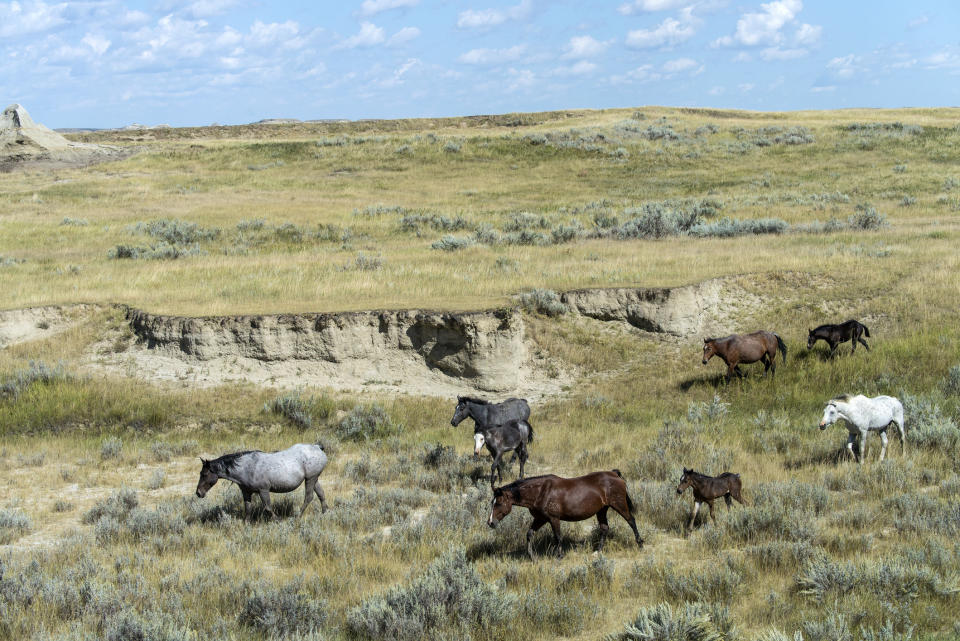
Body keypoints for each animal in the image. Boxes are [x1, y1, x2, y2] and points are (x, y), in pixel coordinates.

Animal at [195, 444, 330, 520]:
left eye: (204, 474)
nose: (198, 493)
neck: (246, 467)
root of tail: (317, 447)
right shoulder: (246, 493)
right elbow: (248, 510)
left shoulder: (263, 490)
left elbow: (268, 508)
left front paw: (277, 520)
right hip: (314, 479)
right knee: (321, 494)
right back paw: (324, 513)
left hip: (310, 479)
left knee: (309, 497)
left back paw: (297, 516)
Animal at [488, 468, 644, 556]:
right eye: (492, 503)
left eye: (499, 503)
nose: (490, 522)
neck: (541, 492)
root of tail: (615, 474)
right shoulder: (540, 519)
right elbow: (529, 534)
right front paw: (531, 556)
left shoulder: (553, 519)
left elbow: (557, 537)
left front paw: (559, 555)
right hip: (601, 510)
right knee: (604, 528)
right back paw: (597, 551)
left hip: (619, 504)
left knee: (631, 521)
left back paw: (640, 544)